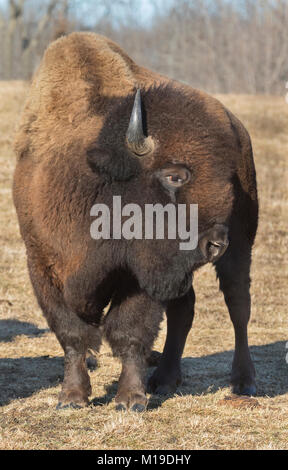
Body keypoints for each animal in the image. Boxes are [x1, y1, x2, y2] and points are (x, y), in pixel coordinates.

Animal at [12, 32, 258, 412]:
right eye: (174, 176)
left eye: (224, 178)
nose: (215, 243)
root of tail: (238, 127)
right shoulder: (42, 265)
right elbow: (72, 335)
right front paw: (72, 398)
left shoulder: (137, 277)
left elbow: (129, 332)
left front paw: (129, 399)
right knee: (184, 309)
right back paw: (165, 379)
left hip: (242, 243)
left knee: (238, 305)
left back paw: (243, 381)